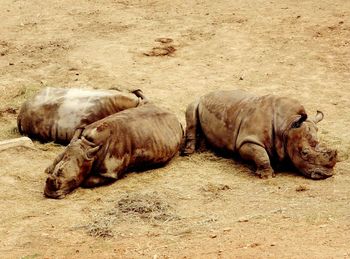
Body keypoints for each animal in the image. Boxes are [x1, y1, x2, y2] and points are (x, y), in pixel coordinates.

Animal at [43, 103, 183, 199]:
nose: (49, 194)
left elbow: (88, 181)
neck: (88, 145)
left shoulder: (109, 172)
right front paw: (48, 169)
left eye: (73, 180)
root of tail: (175, 117)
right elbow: (60, 156)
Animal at [182, 90, 338, 180]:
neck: (287, 125)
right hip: (197, 101)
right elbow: (261, 155)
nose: (327, 174)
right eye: (304, 153)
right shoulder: (247, 141)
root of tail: (205, 94)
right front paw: (267, 176)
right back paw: (189, 152)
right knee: (191, 111)